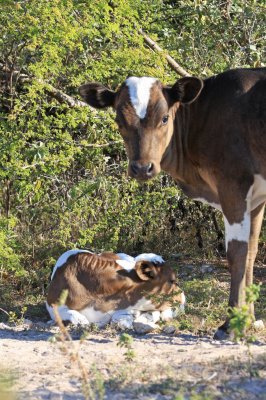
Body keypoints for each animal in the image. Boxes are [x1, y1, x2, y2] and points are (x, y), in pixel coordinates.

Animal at [79, 68, 266, 338]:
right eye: (119, 120)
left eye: (165, 118)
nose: (141, 168)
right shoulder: (256, 196)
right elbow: (251, 251)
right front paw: (247, 319)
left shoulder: (234, 183)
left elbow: (237, 254)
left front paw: (231, 324)